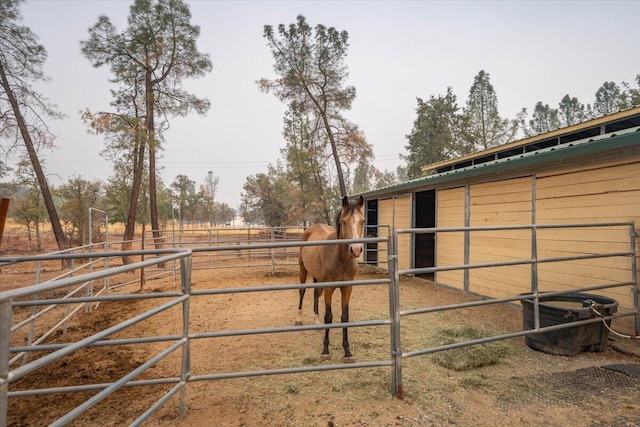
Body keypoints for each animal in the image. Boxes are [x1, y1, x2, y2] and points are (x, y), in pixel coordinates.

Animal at [296, 196, 362, 362]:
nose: (356, 249)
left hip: (317, 277)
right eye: (344, 221)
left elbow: (344, 317)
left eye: (363, 221)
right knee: (302, 291)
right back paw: (298, 319)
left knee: (315, 293)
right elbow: (329, 316)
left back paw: (316, 321)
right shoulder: (329, 287)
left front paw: (347, 352)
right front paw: (325, 350)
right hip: (303, 269)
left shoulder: (347, 288)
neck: (341, 259)